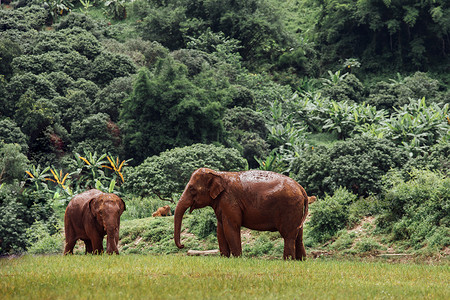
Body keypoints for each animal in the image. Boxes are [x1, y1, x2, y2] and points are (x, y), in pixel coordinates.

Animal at [173, 168, 310, 258]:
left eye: (192, 189)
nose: (183, 246)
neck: (218, 173)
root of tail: (301, 188)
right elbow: (220, 230)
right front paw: (225, 258)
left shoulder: (229, 201)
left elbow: (231, 228)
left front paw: (237, 259)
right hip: (296, 210)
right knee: (298, 235)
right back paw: (301, 261)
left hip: (290, 207)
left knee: (289, 236)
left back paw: (288, 260)